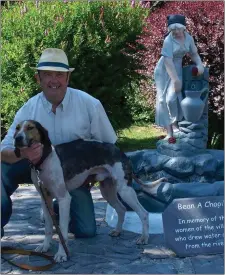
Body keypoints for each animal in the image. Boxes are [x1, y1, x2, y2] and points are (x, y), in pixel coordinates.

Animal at [14, 120, 165, 264]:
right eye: (17, 128)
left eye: (30, 127)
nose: (17, 138)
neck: (43, 161)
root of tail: (120, 151)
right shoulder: (45, 199)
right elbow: (48, 228)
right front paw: (45, 246)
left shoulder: (64, 199)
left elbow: (62, 230)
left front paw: (62, 254)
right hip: (107, 191)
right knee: (121, 209)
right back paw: (117, 231)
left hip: (125, 190)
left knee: (143, 213)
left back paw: (144, 238)